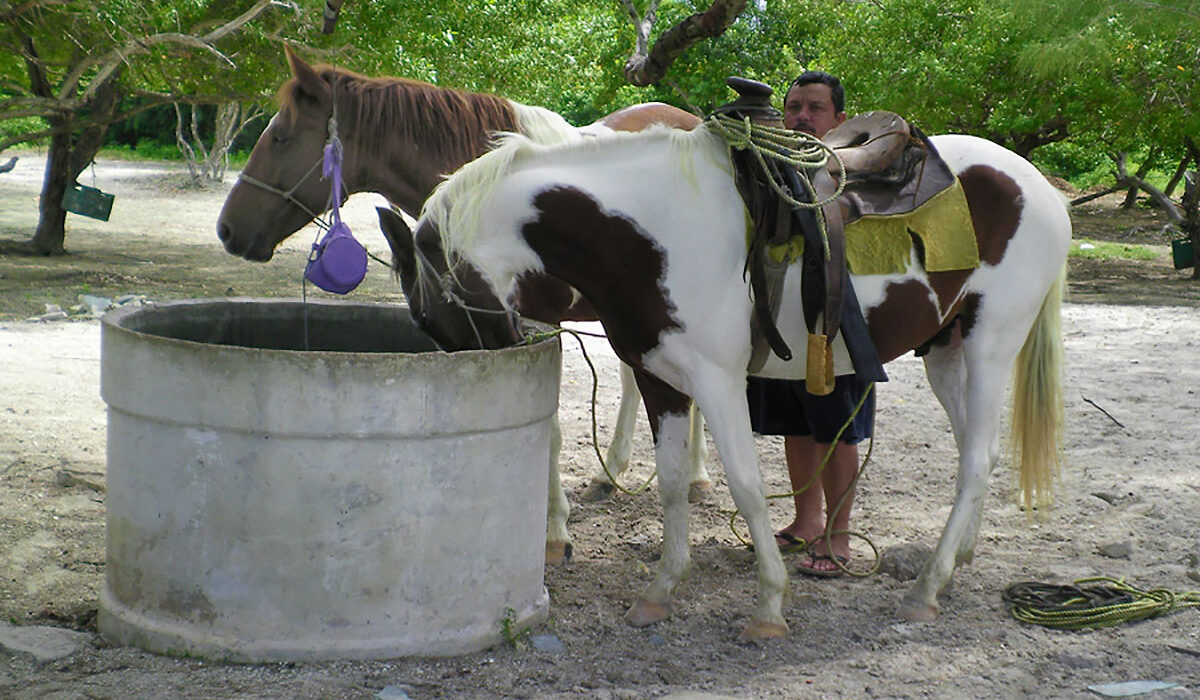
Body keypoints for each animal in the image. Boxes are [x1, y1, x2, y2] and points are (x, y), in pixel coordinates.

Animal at [374, 121, 1070, 638]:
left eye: (429, 316)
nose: (492, 361)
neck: (650, 232)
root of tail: (1039, 187)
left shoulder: (718, 382)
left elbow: (748, 487)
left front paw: (769, 605)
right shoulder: (660, 379)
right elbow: (671, 485)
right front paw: (660, 591)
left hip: (990, 345)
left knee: (976, 459)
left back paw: (927, 588)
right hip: (945, 352)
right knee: (976, 453)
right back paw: (956, 561)